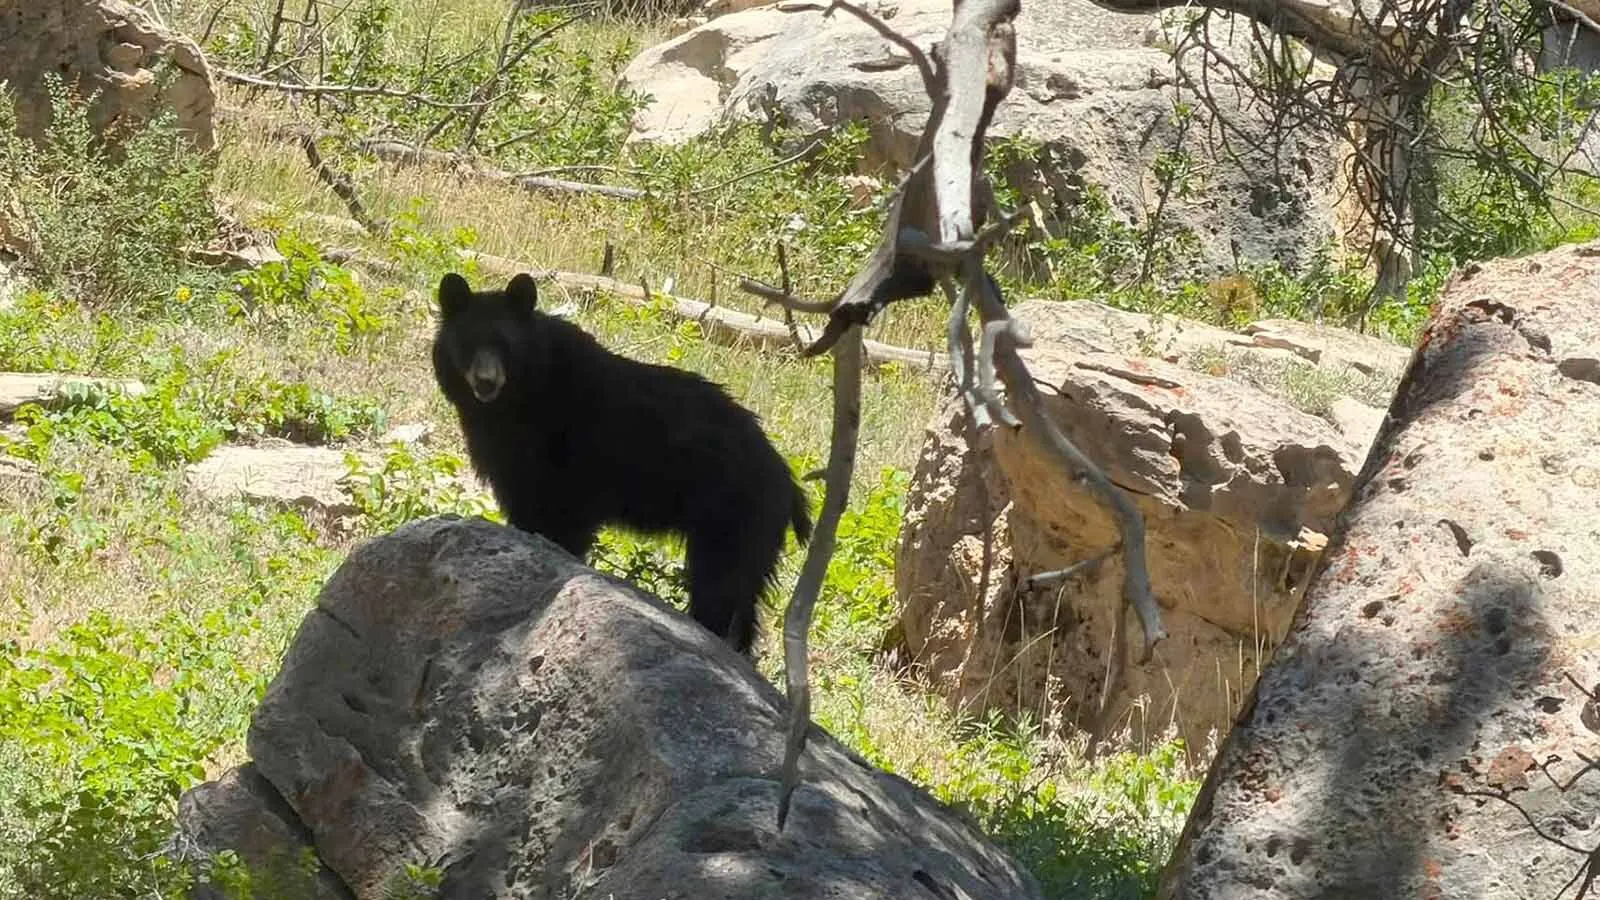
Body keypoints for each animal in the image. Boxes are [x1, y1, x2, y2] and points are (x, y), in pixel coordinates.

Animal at [430, 271, 813, 656]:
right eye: (467, 343)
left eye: (505, 344)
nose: (486, 382)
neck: (513, 402)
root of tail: (788, 482)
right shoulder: (510, 460)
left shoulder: (567, 459)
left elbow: (562, 520)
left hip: (733, 518)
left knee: (720, 586)